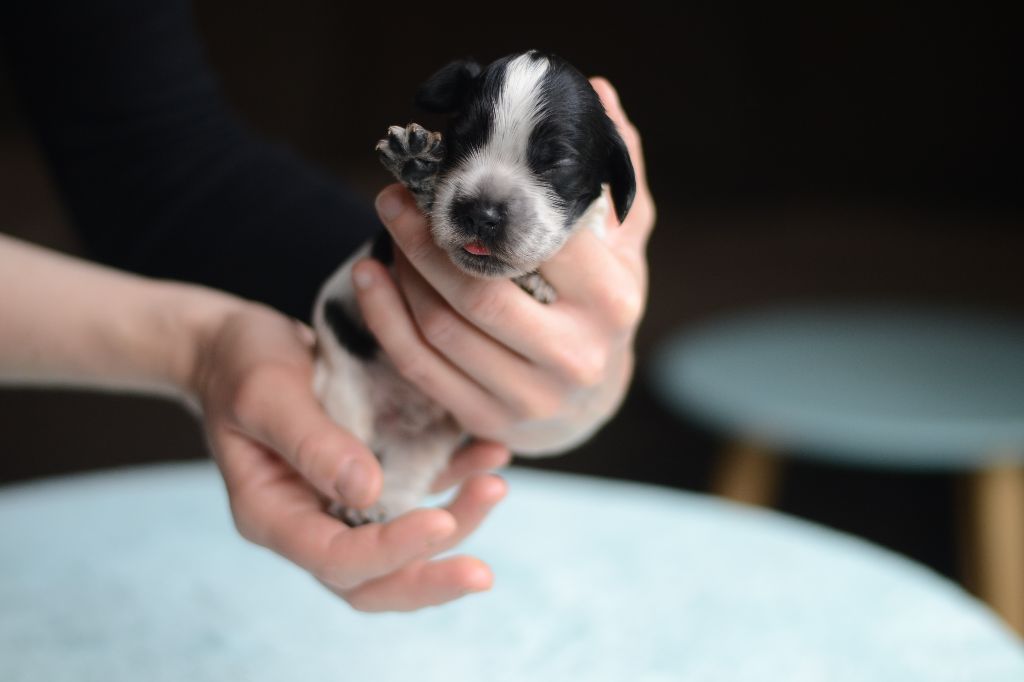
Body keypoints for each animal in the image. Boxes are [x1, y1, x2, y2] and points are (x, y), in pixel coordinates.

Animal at [312, 50, 636, 524]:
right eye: (460, 138)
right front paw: (417, 165)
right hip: (341, 384)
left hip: (427, 439)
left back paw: (379, 505)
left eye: (557, 163)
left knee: (406, 472)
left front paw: (535, 278)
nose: (481, 214)